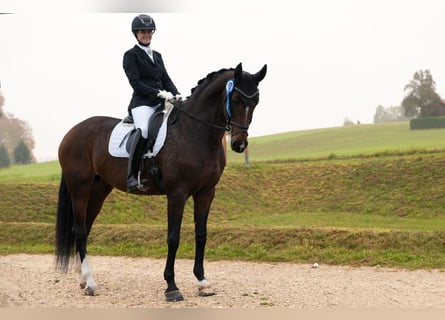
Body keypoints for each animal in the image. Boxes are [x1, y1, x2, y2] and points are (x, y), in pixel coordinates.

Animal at [53, 62, 266, 300]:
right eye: (235, 99)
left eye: (256, 101)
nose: (239, 144)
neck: (194, 132)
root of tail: (72, 132)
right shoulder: (177, 194)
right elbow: (173, 238)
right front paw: (171, 287)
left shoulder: (206, 193)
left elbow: (201, 235)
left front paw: (202, 282)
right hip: (79, 188)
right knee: (80, 230)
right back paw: (90, 282)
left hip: (99, 190)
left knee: (85, 227)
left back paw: (83, 279)